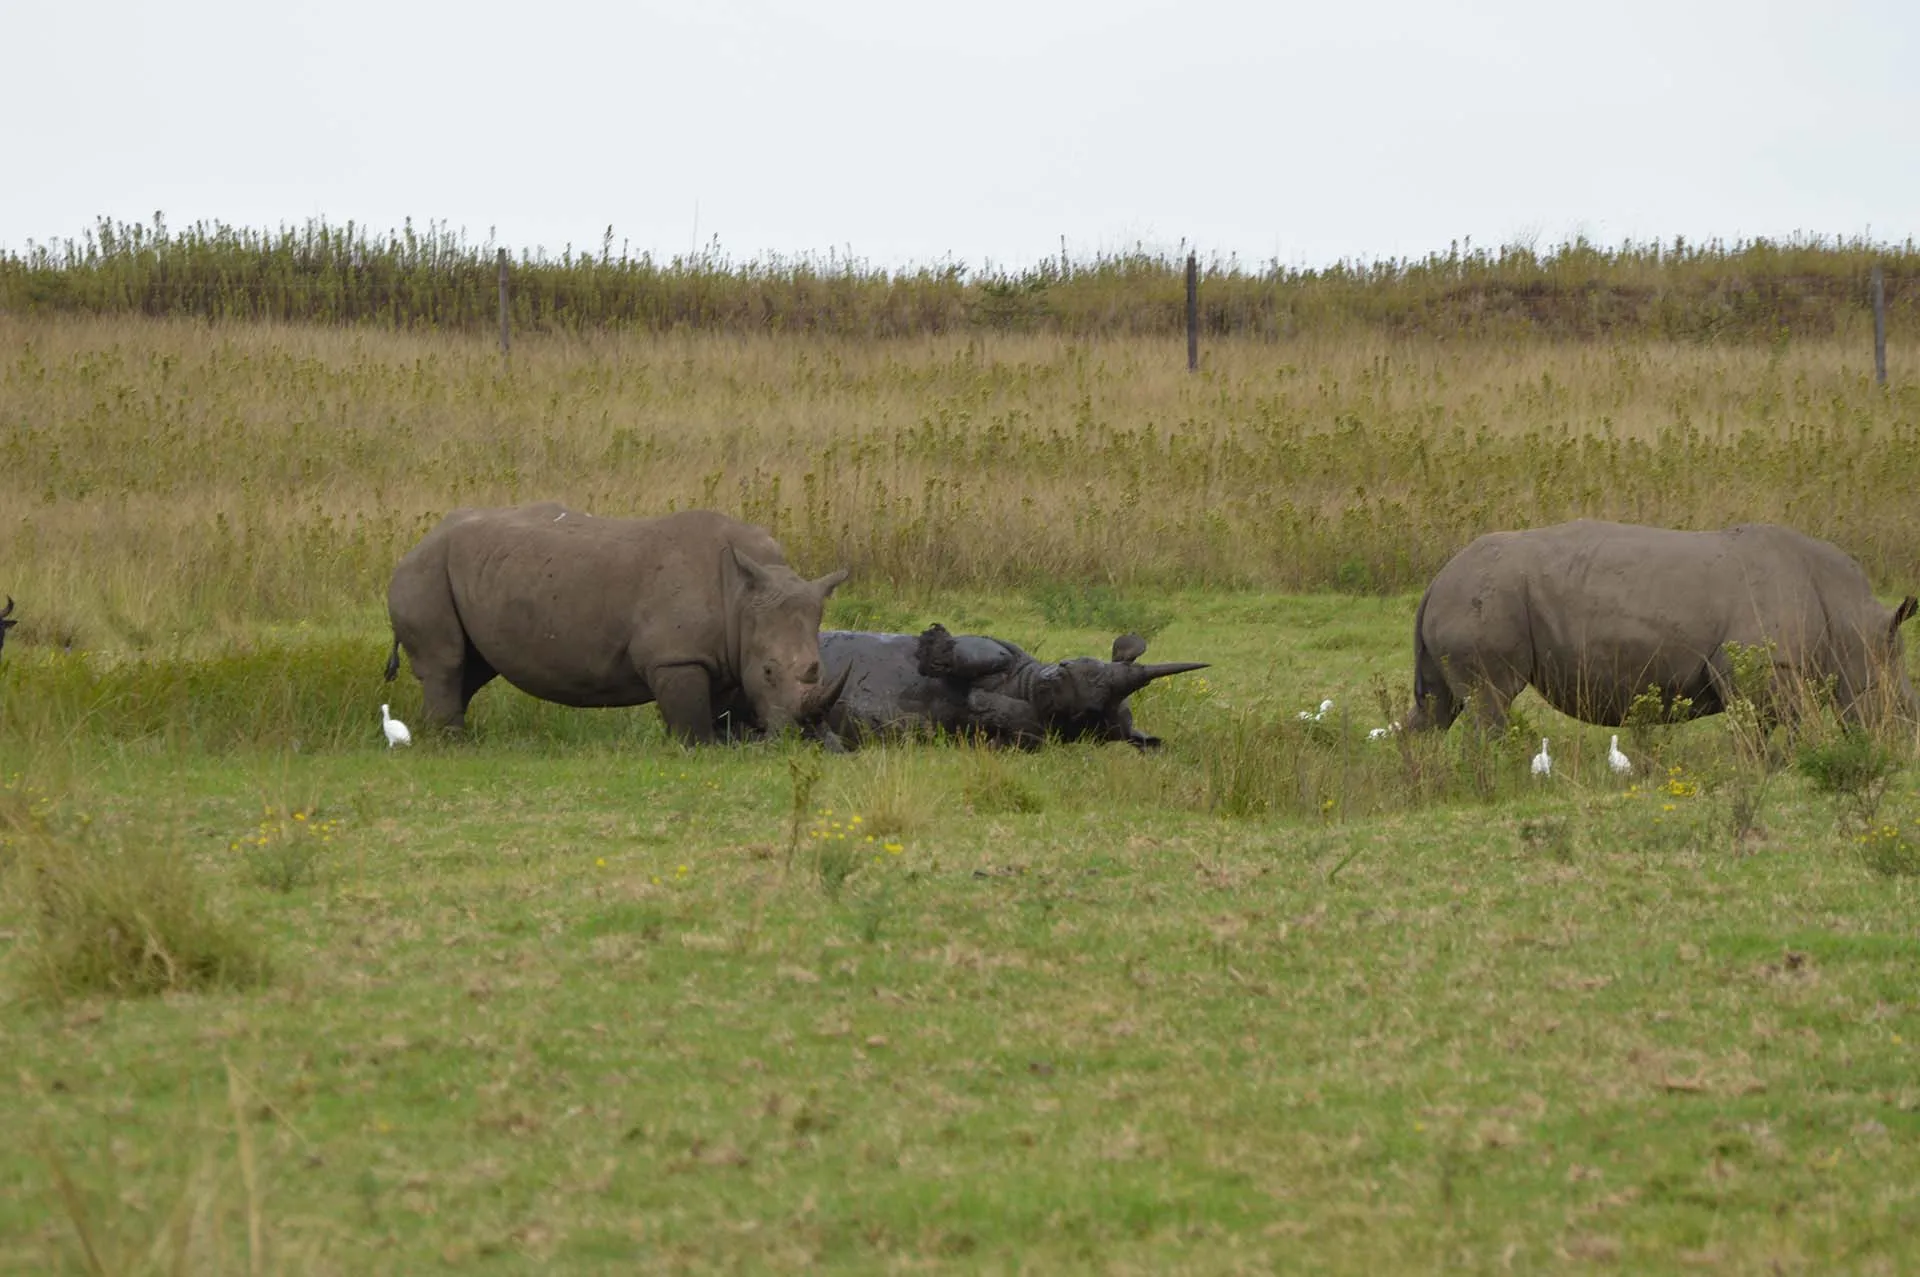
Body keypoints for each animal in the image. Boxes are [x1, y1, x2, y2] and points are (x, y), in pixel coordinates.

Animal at [384, 503, 849, 745]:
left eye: (821, 667)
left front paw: (723, 742)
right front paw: (699, 748)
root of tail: (417, 543)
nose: (803, 734)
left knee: (474, 666)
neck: (741, 596)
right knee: (447, 662)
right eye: (769, 672)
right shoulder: (676, 657)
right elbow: (691, 715)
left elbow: (716, 704)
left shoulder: (720, 653)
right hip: (425, 569)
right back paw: (450, 742)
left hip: (468, 571)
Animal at [804, 623, 1208, 749]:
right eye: (1073, 667)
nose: (1051, 679)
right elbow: (969, 656)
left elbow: (1019, 723)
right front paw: (935, 647)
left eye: (1086, 716)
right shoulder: (996, 648)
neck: (1023, 684)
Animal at [1404, 519, 1920, 733]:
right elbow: (1777, 730)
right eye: (1901, 707)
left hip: (1466, 598)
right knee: (1489, 702)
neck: (1850, 619)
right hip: (1485, 599)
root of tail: (1436, 580)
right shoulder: (1762, 669)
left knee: (1437, 707)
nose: (1904, 744)